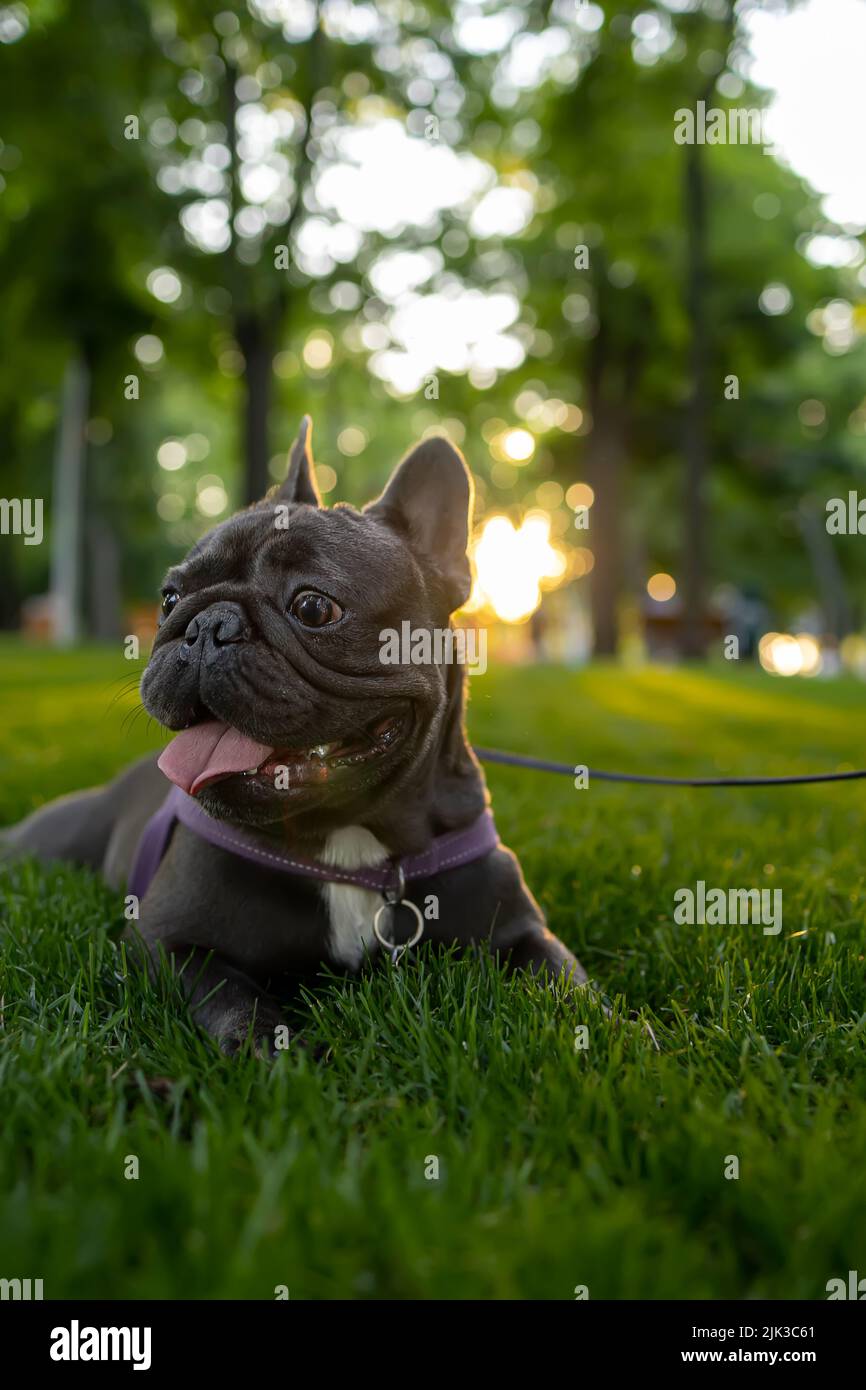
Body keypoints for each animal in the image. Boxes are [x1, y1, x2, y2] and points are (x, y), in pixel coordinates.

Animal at [3, 417, 589, 1045]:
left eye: (313, 608)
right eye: (169, 598)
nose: (206, 625)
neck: (346, 842)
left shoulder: (523, 932)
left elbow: (573, 991)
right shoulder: (165, 943)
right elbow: (231, 999)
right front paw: (275, 1052)